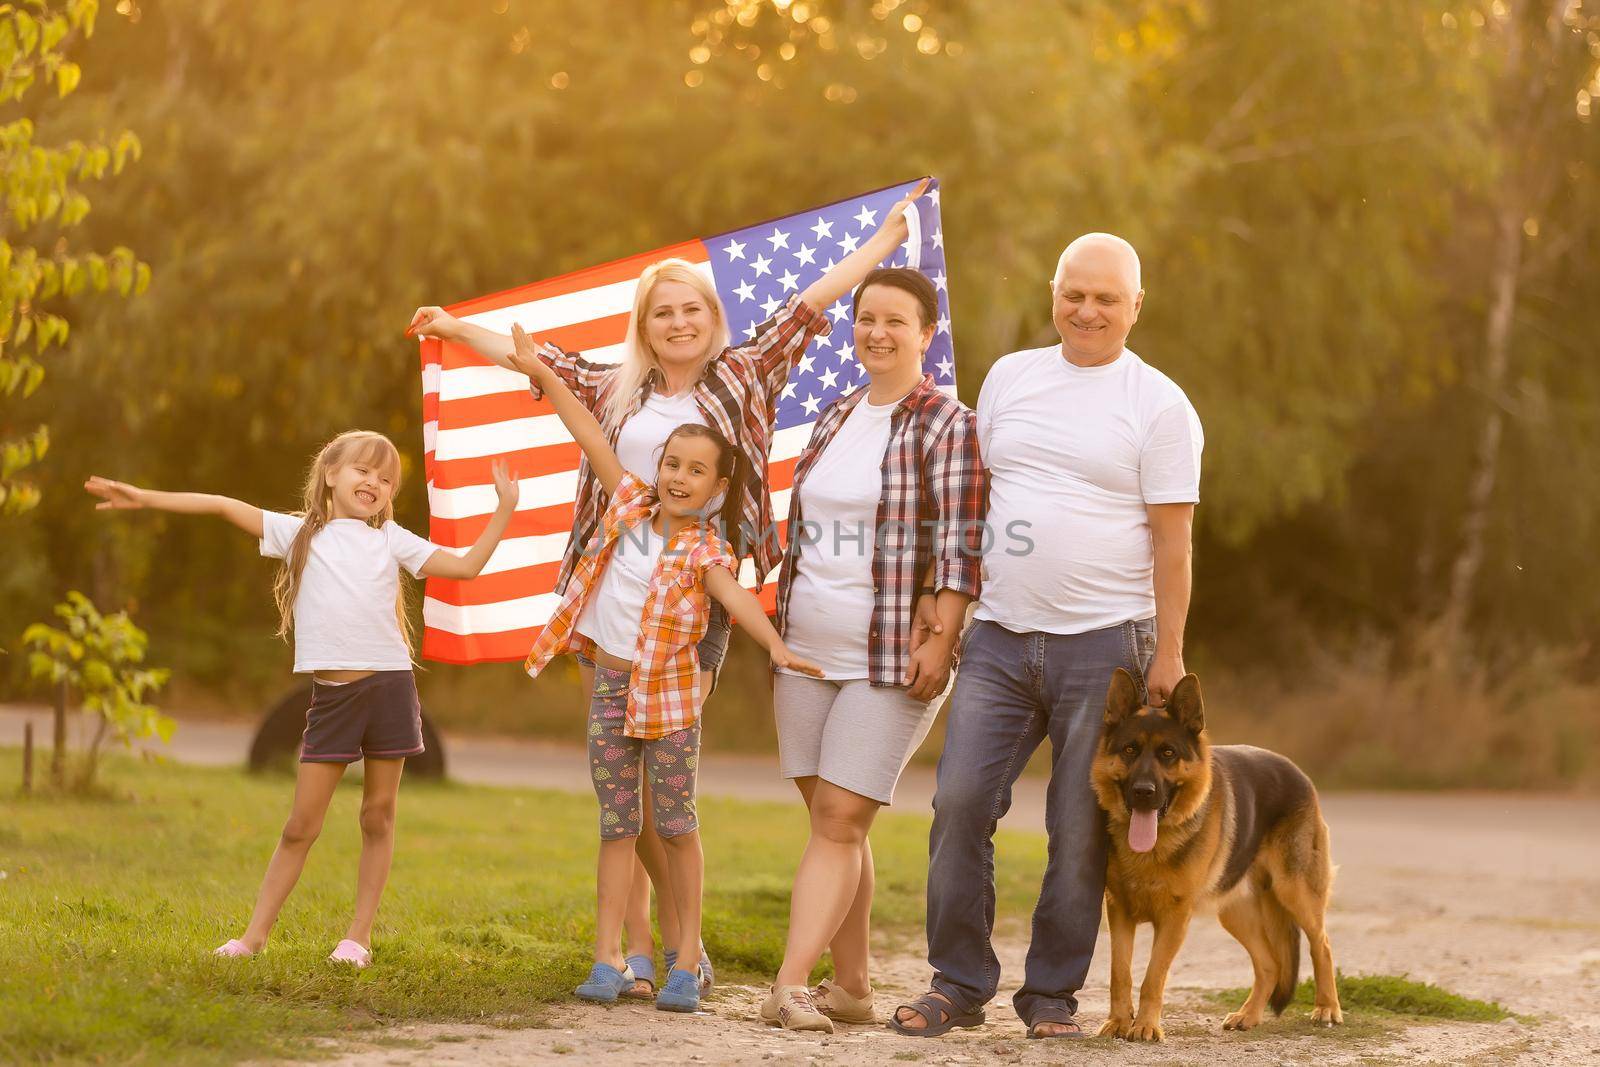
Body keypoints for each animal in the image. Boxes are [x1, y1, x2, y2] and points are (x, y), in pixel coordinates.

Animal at [1094, 671, 1344, 1036]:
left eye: (1168, 753)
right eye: (1129, 750)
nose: (1143, 792)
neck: (1153, 848)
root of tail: (1296, 771)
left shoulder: (1174, 918)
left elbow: (1153, 976)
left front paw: (1145, 1027)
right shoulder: (1119, 912)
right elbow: (1120, 973)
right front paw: (1118, 1021)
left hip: (1296, 892)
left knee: (1321, 945)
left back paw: (1327, 1007)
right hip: (1235, 912)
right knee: (1270, 964)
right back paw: (1249, 1015)